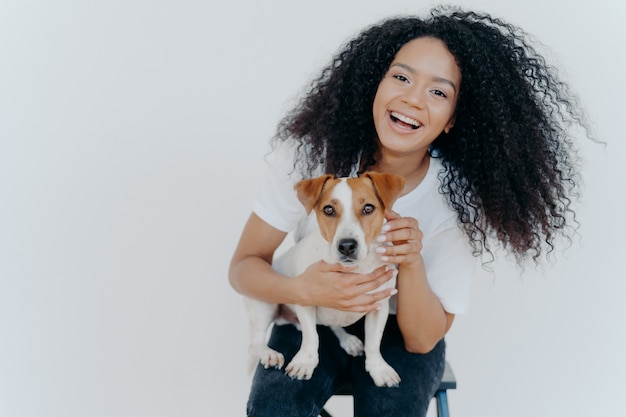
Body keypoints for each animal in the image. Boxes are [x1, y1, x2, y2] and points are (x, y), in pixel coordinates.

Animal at [244, 171, 404, 386]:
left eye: (368, 208)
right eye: (329, 210)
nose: (346, 246)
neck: (354, 270)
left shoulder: (380, 307)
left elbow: (373, 342)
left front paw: (379, 369)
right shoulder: (305, 298)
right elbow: (312, 336)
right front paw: (305, 363)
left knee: (334, 325)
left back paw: (347, 340)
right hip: (264, 304)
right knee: (255, 343)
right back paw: (268, 354)